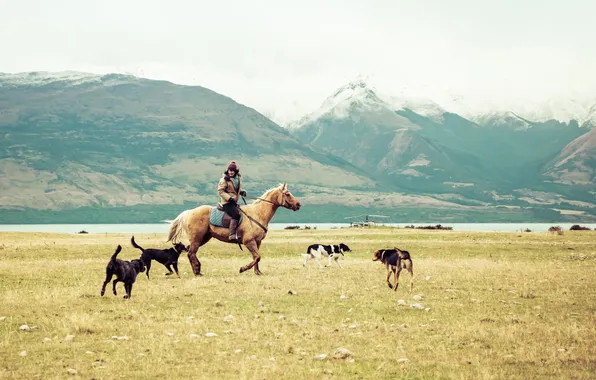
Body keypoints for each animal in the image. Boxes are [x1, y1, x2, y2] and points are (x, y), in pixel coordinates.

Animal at [165, 183, 300, 274]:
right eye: (287, 194)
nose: (298, 205)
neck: (258, 213)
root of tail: (188, 212)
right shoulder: (249, 241)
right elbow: (257, 257)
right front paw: (243, 269)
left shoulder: (257, 242)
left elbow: (256, 258)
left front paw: (258, 272)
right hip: (197, 238)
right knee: (191, 253)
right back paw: (197, 271)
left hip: (203, 238)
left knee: (190, 252)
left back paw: (197, 270)